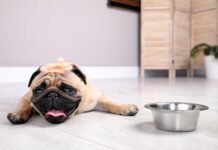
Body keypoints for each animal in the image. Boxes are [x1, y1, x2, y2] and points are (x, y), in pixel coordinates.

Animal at [7, 58, 139, 124]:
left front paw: (126, 108)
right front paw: (18, 114)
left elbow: (110, 104)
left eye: (68, 90)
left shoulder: (96, 99)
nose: (52, 95)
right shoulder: (26, 97)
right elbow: (24, 106)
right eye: (39, 90)